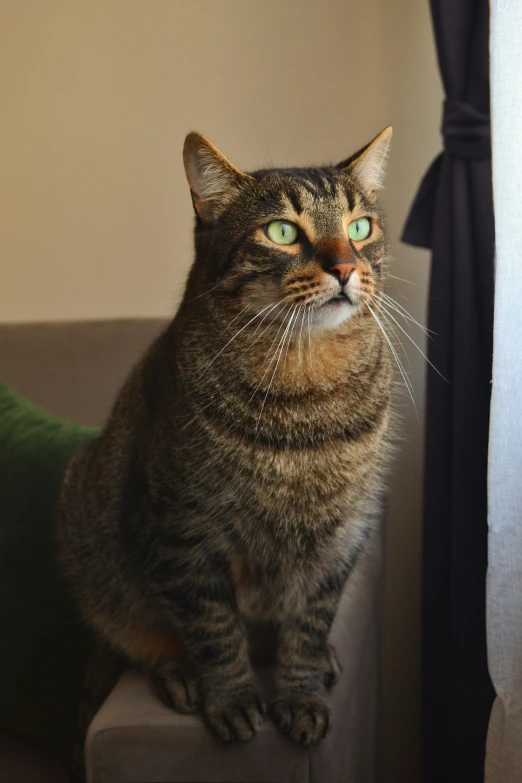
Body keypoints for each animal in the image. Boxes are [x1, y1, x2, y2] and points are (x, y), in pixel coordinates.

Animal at [55, 127, 390, 748]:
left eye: (359, 227)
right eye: (281, 232)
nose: (345, 268)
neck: (307, 389)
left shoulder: (343, 535)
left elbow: (309, 623)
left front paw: (301, 691)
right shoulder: (182, 534)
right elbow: (215, 629)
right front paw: (233, 699)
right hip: (89, 531)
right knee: (143, 639)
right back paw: (181, 676)